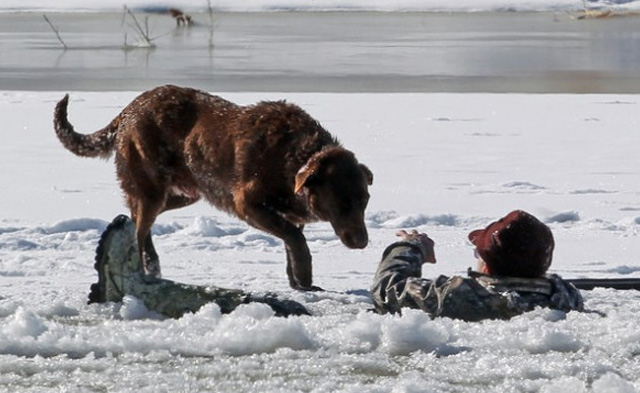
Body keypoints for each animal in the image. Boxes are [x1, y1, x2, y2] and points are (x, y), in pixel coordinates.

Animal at [56, 84, 376, 290]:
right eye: (341, 202)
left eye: (364, 201)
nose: (363, 242)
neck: (294, 157)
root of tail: (129, 110)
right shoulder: (247, 204)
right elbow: (295, 240)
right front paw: (305, 276)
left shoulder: (289, 213)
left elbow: (291, 240)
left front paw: (297, 283)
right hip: (153, 188)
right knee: (141, 225)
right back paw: (148, 267)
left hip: (186, 192)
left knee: (137, 216)